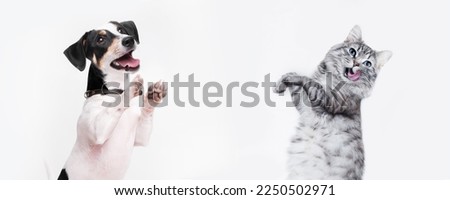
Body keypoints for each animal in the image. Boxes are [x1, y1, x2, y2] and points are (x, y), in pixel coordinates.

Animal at [59, 20, 166, 180]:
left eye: (121, 30)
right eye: (100, 39)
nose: (129, 40)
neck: (112, 92)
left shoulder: (140, 137)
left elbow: (146, 113)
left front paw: (153, 95)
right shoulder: (98, 131)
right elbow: (117, 104)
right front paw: (130, 89)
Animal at [272, 25, 392, 180]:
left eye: (367, 63)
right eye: (352, 51)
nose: (356, 63)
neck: (331, 79)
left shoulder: (331, 100)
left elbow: (307, 80)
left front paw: (293, 78)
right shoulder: (303, 104)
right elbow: (296, 81)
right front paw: (283, 81)